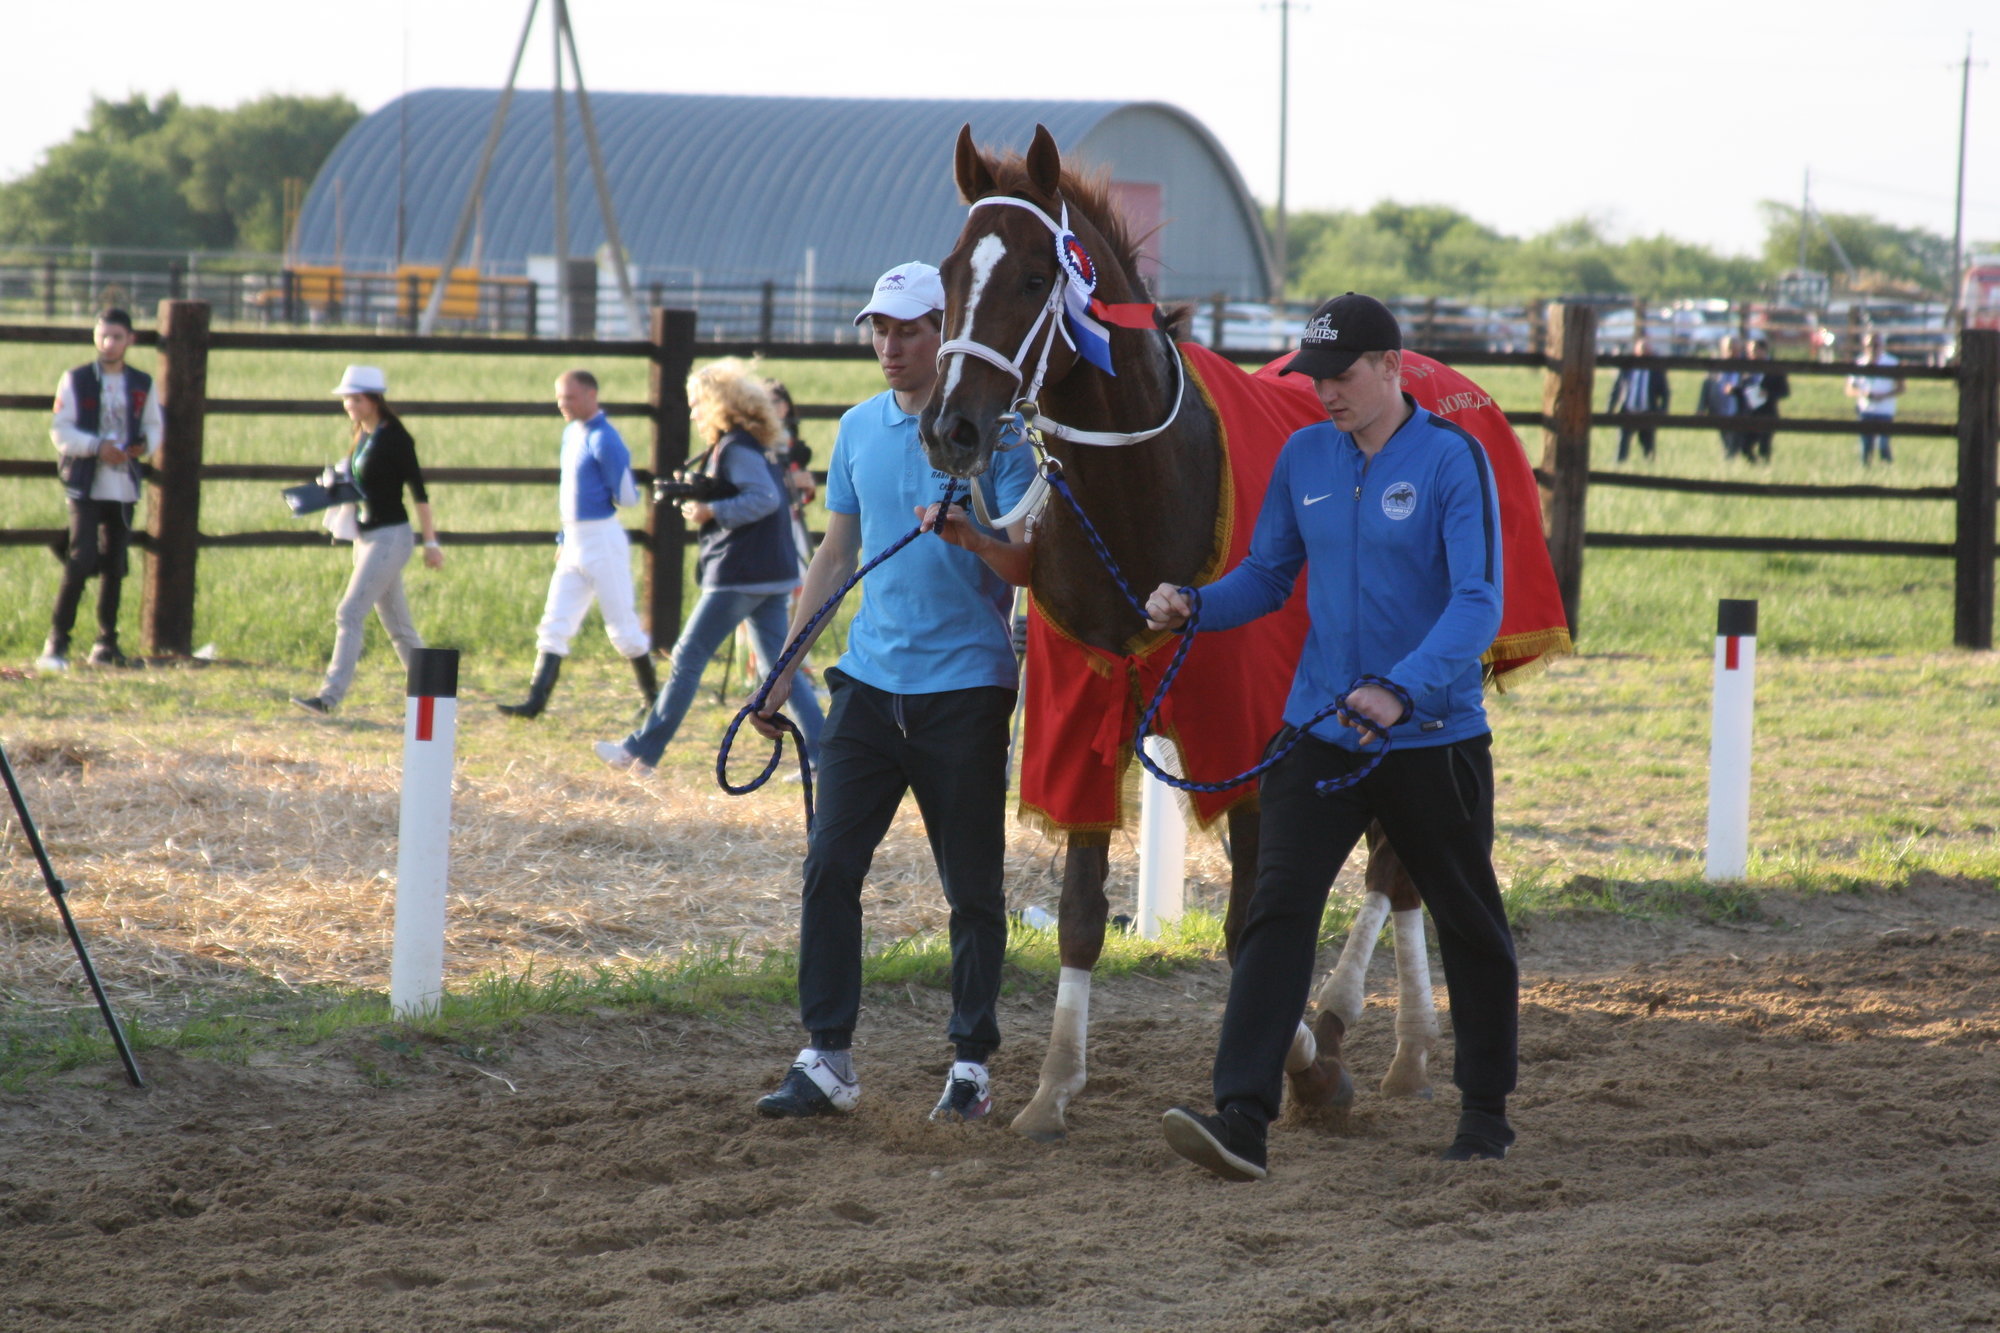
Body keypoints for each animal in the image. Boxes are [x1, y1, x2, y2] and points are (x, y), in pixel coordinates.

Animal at [920, 124, 1440, 1136]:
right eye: (951, 268)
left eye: (1037, 276)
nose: (950, 427)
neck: (1145, 493)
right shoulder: (1081, 706)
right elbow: (1082, 912)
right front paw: (1054, 1085)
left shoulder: (1243, 733)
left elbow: (1251, 926)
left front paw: (1303, 1066)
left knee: (1400, 865)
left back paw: (1391, 1039)